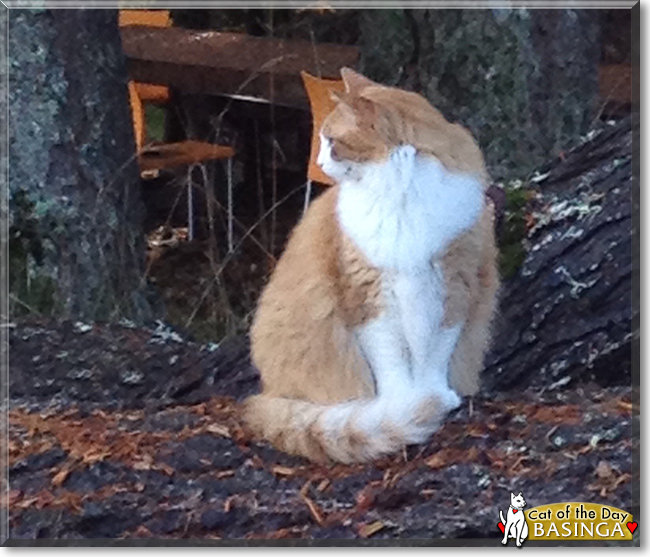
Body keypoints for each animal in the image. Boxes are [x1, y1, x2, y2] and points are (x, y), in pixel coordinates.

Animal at [240, 67, 498, 462]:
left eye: (331, 141)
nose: (319, 163)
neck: (400, 192)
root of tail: (267, 395)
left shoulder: (454, 288)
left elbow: (434, 358)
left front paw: (435, 398)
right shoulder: (371, 298)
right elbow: (392, 365)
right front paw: (404, 409)